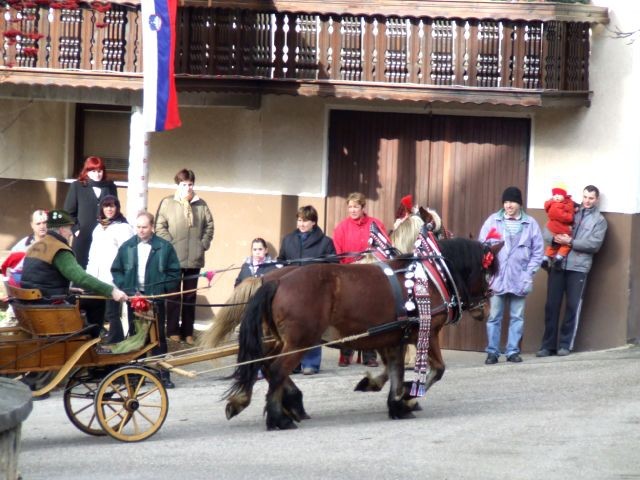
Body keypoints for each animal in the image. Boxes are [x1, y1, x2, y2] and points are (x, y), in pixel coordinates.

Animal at [224, 238, 500, 430]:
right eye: (488, 272)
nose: (485, 309)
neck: (431, 276)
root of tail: (277, 280)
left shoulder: (393, 338)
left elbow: (395, 372)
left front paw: (396, 402)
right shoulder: (427, 333)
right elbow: (437, 370)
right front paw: (409, 397)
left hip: (279, 339)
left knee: (266, 365)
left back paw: (283, 404)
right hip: (300, 341)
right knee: (277, 369)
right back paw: (278, 418)